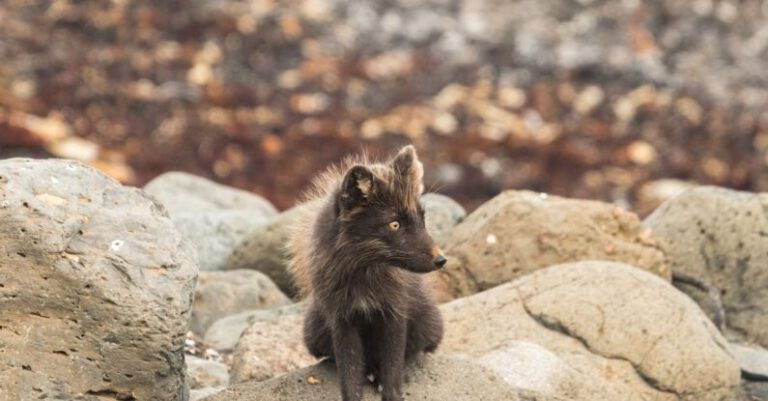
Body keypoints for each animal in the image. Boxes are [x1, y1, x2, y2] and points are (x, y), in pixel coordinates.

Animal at [288, 145, 444, 400]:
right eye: (394, 224)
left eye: (422, 219)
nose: (441, 260)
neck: (365, 276)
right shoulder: (342, 320)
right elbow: (349, 374)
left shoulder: (395, 313)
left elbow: (393, 368)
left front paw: (391, 391)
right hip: (313, 333)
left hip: (428, 324)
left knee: (416, 351)